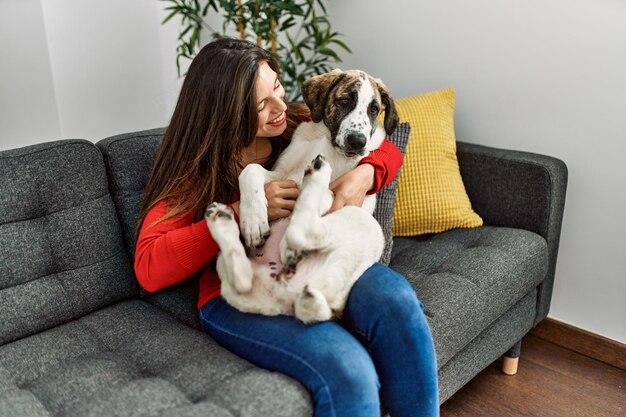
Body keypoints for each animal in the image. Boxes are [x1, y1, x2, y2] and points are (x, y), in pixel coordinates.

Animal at [205, 67, 400, 322]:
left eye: (374, 109)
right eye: (345, 100)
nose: (357, 142)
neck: (327, 143)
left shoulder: (350, 195)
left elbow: (327, 193)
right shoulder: (282, 174)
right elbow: (251, 170)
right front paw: (253, 221)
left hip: (364, 222)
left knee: (303, 231)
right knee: (242, 279)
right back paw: (222, 220)